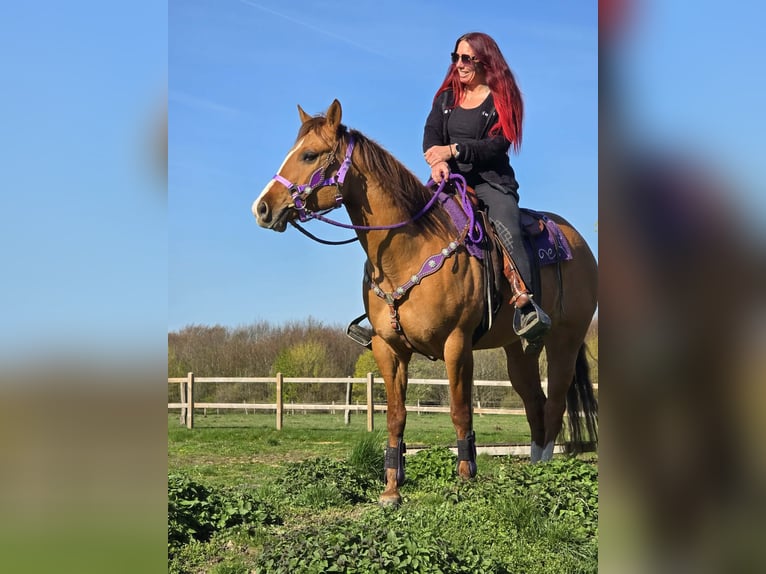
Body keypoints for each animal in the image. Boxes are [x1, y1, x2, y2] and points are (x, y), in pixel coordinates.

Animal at [253, 100, 598, 506]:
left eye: (309, 155)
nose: (262, 208)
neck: (408, 250)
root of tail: (578, 242)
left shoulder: (457, 344)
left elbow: (460, 412)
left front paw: (465, 478)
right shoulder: (390, 349)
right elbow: (395, 416)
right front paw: (391, 488)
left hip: (565, 341)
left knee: (555, 403)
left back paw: (543, 475)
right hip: (519, 349)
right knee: (535, 405)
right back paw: (531, 470)